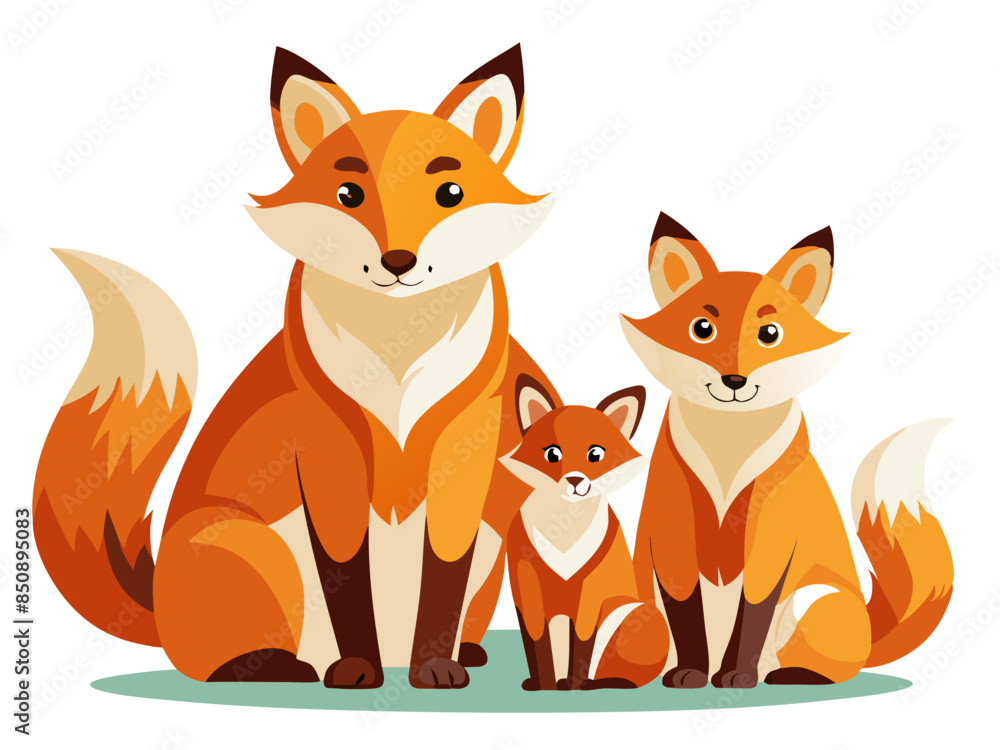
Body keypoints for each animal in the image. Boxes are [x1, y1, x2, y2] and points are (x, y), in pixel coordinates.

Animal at [32, 45, 561, 690]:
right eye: (349, 195)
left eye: (451, 192)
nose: (399, 260)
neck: (397, 352)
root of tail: (156, 607)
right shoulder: (326, 446)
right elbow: (344, 572)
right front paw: (358, 670)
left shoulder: (465, 447)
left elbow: (443, 572)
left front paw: (435, 666)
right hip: (255, 548)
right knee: (223, 661)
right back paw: (280, 667)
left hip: (494, 540)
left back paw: (464, 652)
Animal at [500, 376, 670, 690]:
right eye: (552, 453)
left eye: (595, 454)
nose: (576, 480)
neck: (564, 531)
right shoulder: (527, 592)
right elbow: (538, 646)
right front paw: (543, 686)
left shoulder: (590, 597)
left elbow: (581, 645)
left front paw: (572, 686)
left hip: (630, 614)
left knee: (620, 676)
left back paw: (592, 683)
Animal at [620, 212, 954, 687]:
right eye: (702, 329)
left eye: (770, 333)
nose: (735, 380)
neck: (728, 445)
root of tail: (870, 636)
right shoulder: (672, 538)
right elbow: (686, 614)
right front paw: (693, 672)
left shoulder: (771, 536)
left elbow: (752, 614)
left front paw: (735, 676)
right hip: (641, 613)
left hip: (814, 598)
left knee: (833, 668)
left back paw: (787, 675)